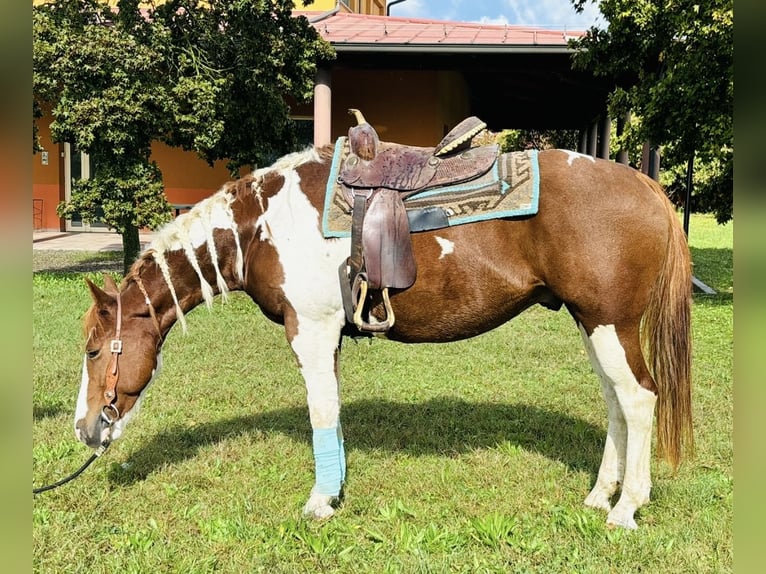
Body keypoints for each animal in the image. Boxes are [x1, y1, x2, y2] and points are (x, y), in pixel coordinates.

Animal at [73, 143, 696, 532]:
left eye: (94, 350)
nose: (84, 429)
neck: (262, 226)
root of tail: (646, 184)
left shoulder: (311, 331)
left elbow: (321, 414)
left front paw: (320, 502)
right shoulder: (327, 338)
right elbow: (332, 415)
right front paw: (335, 488)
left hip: (611, 324)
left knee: (639, 400)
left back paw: (625, 508)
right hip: (591, 322)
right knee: (616, 402)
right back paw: (599, 495)